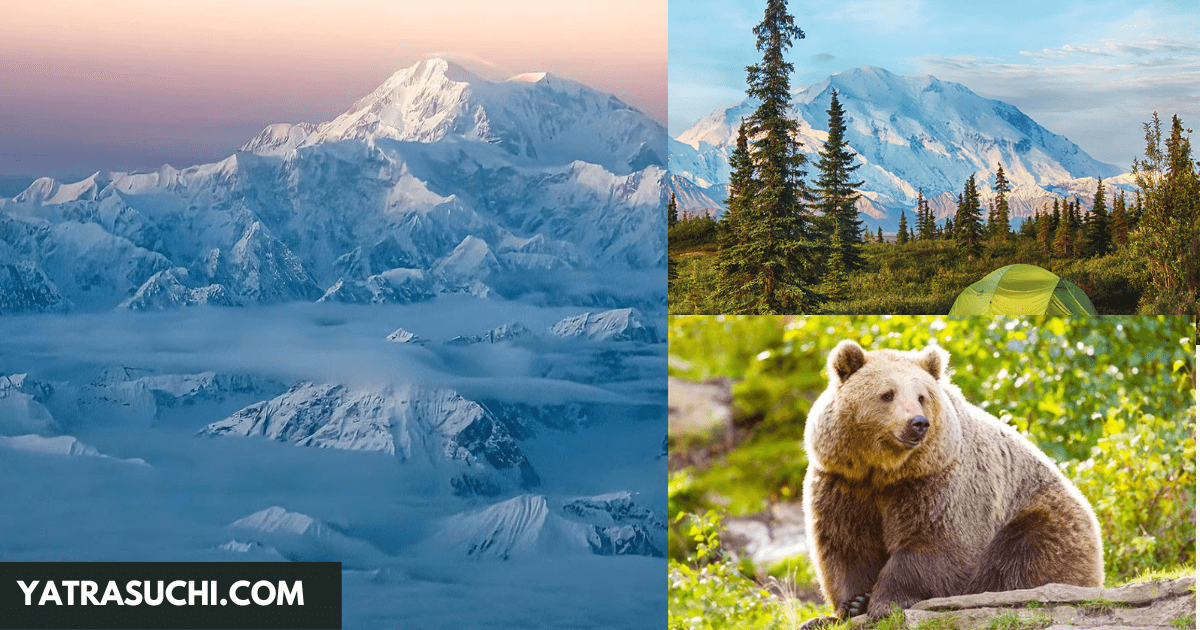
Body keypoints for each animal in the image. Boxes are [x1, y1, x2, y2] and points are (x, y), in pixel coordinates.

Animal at [801, 340, 1099, 619]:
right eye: (887, 394)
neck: (886, 470)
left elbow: (936, 542)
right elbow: (846, 543)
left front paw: (885, 602)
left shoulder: (937, 481)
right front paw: (852, 603)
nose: (918, 423)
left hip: (1041, 517)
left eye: (921, 396)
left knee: (1023, 557)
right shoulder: (844, 481)